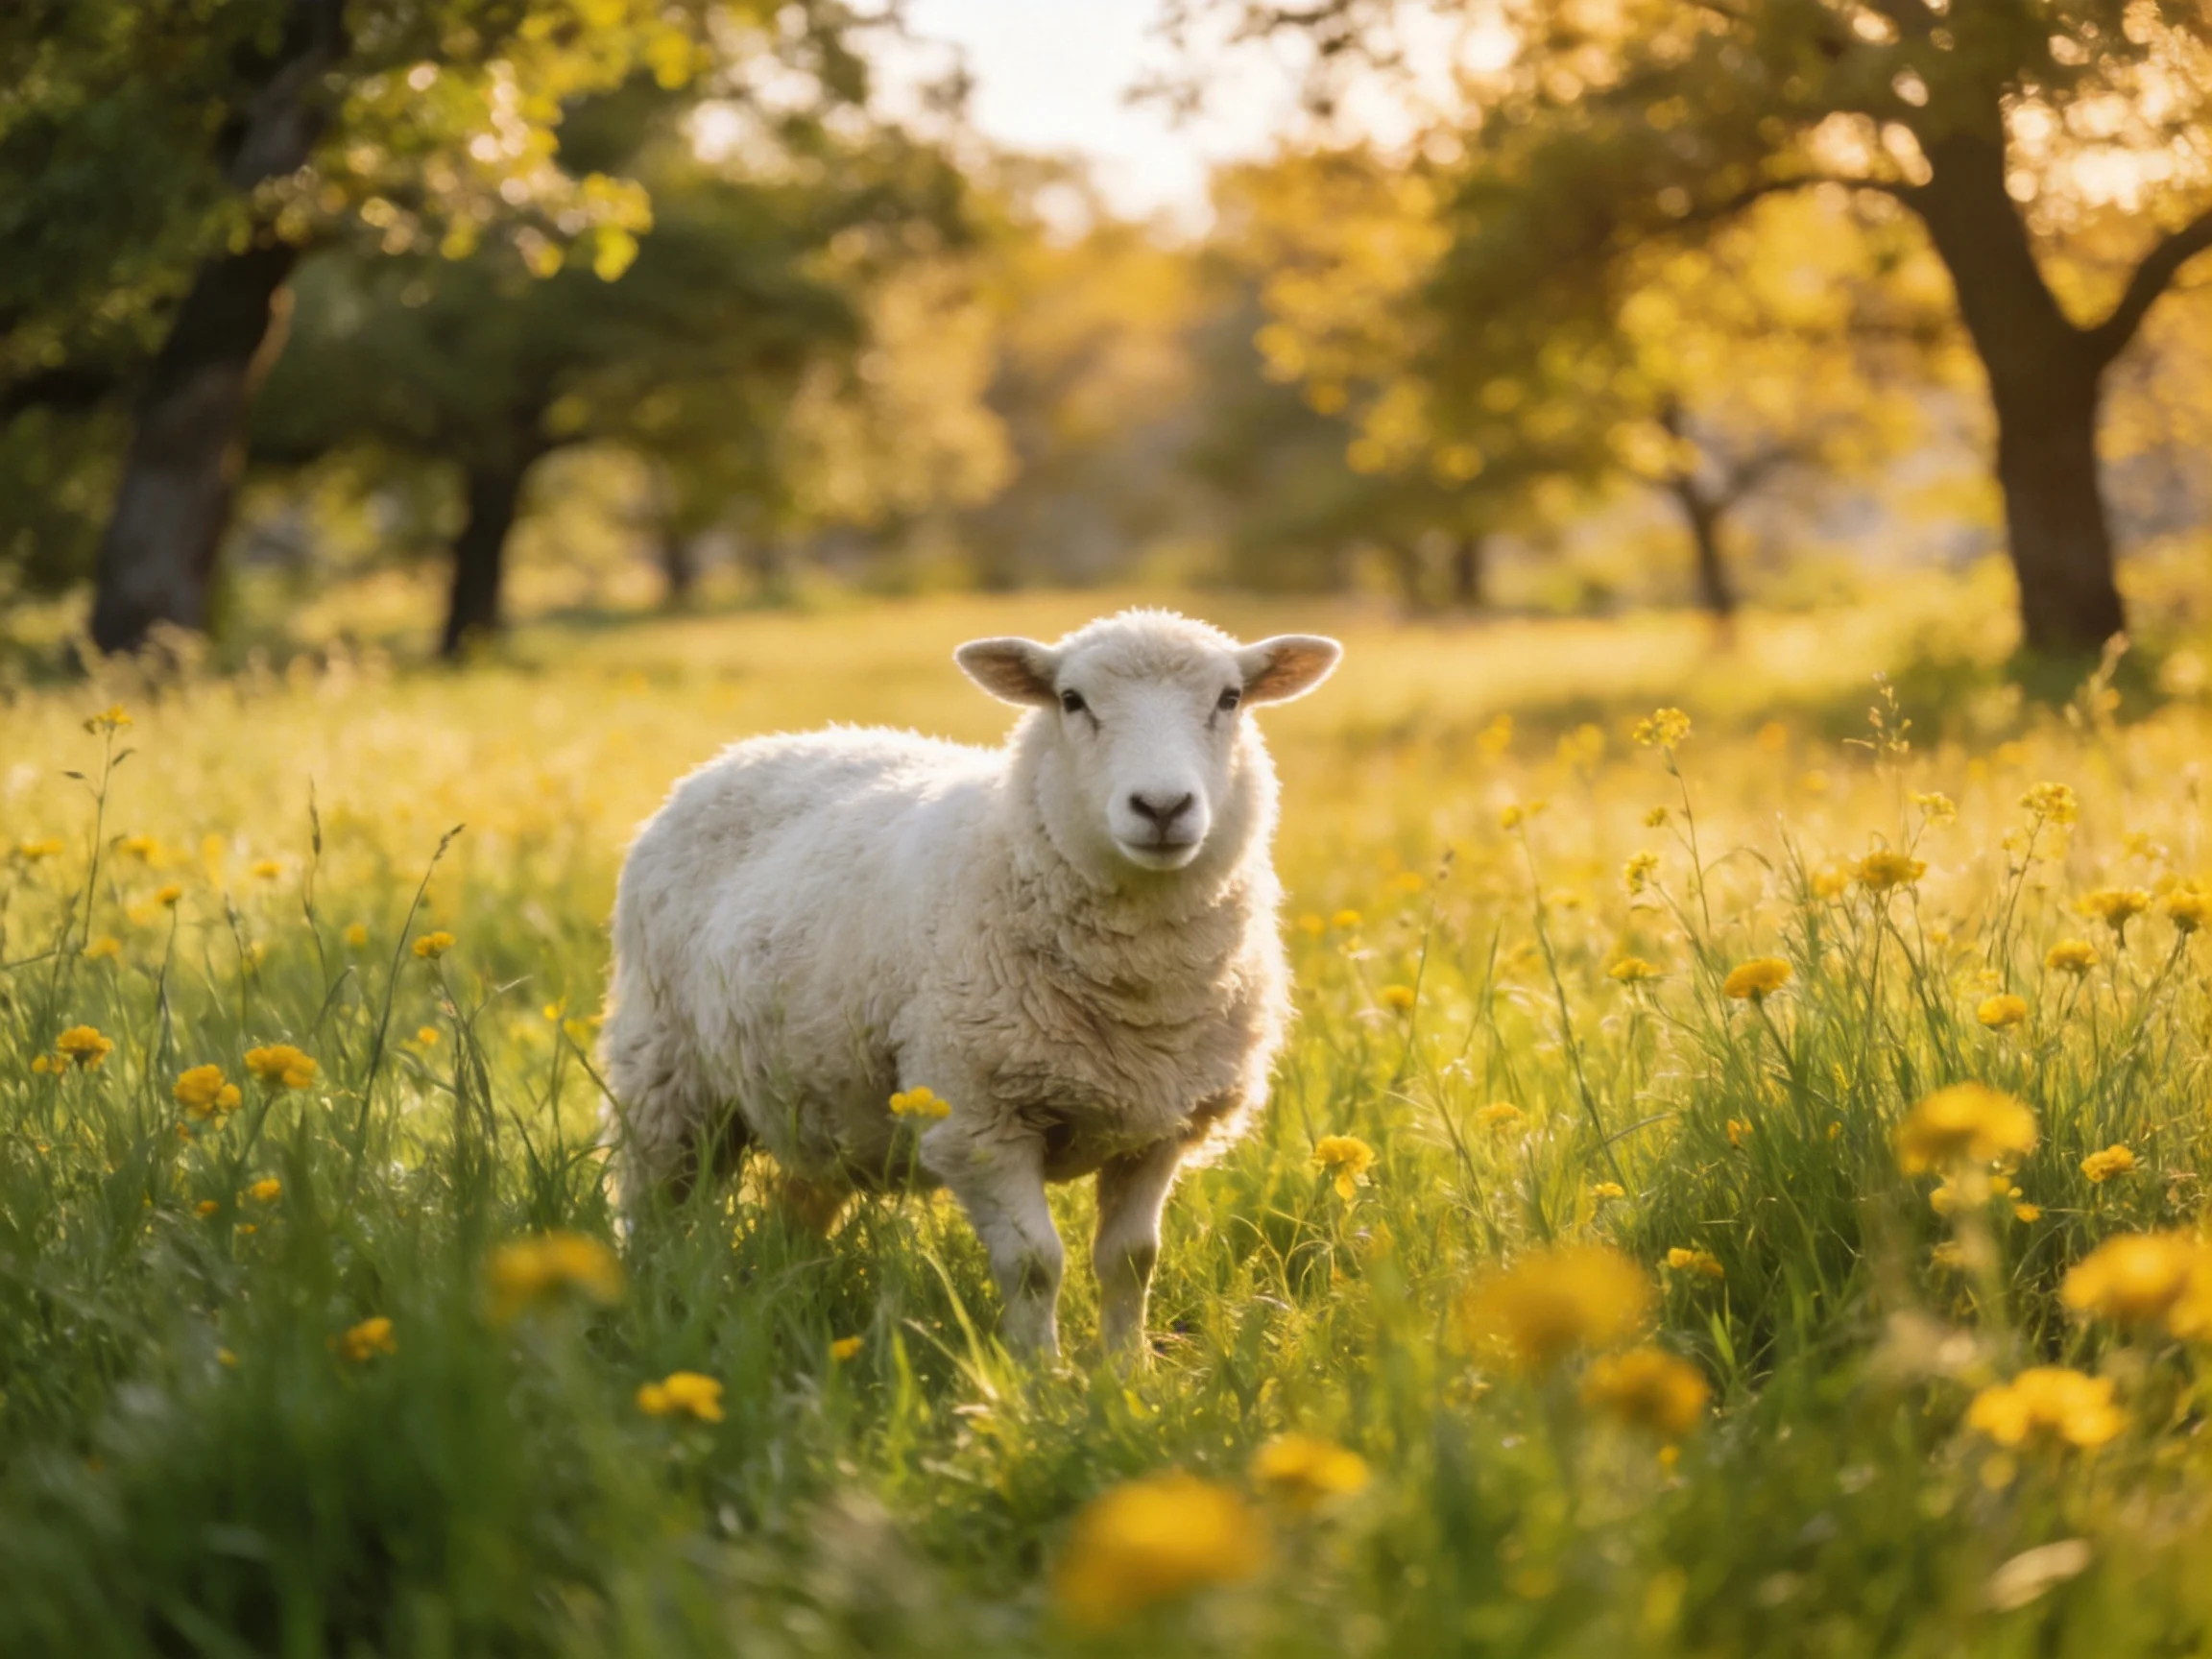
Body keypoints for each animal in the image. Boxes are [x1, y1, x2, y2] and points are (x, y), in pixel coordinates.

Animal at [599, 609, 1341, 1360]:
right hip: (665, 1071)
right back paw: (647, 1306)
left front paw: (1126, 1371)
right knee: (649, 1203)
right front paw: (1039, 1375)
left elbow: (1131, 1261)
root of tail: (746, 750)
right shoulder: (979, 1119)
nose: (1162, 806)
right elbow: (1035, 1264)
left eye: (1230, 699)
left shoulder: (1159, 1127)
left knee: (798, 1203)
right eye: (1071, 700)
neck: (1139, 991)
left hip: (810, 1097)